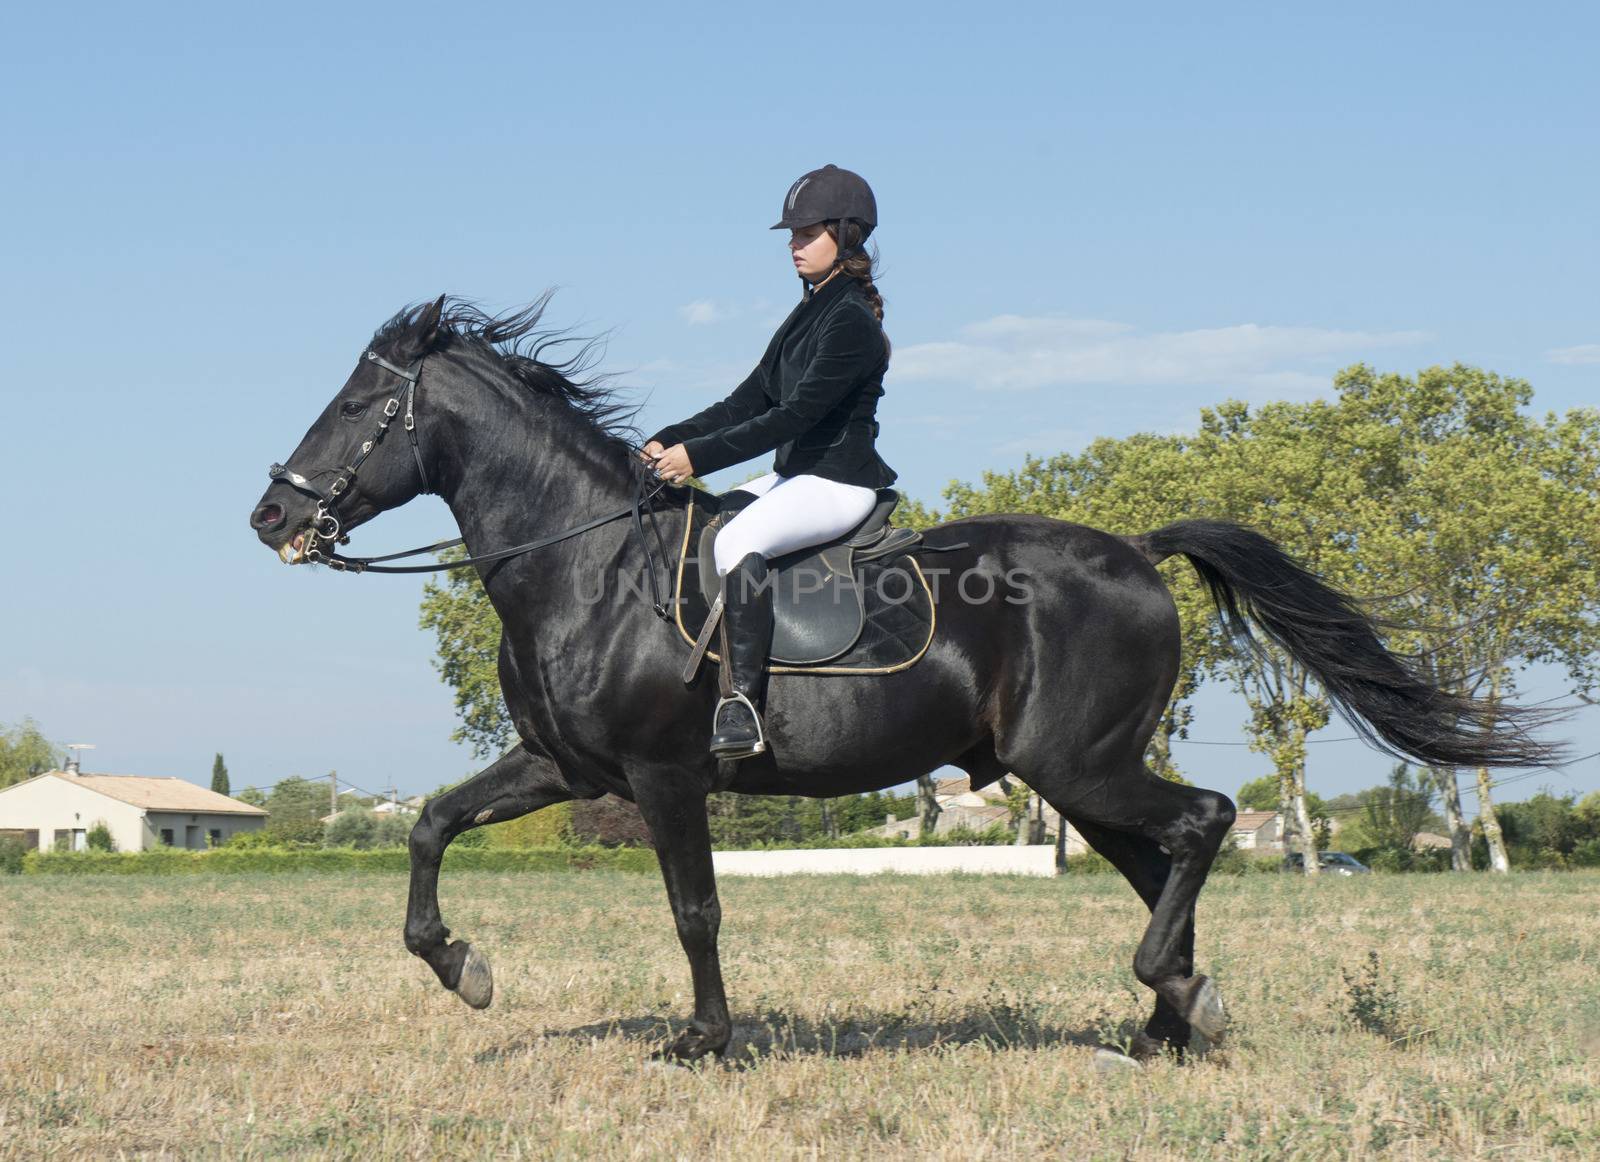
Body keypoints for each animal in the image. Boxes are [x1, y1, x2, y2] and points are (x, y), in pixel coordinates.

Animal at [252, 297, 1561, 1062]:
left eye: (358, 406)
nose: (271, 516)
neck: (584, 559)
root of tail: (1137, 552)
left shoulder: (664, 773)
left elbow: (694, 909)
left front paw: (709, 1041)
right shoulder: (563, 766)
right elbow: (429, 823)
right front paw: (462, 968)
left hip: (1074, 762)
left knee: (1201, 821)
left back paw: (1169, 1001)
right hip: (1078, 775)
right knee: (1162, 860)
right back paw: (1174, 1022)